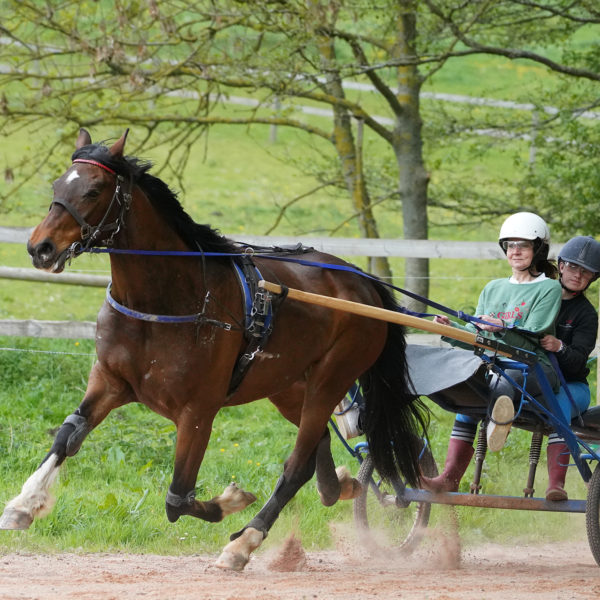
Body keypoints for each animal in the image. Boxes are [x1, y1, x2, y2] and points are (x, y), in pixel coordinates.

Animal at [2, 129, 428, 568]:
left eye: (93, 190)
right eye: (57, 186)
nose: (40, 248)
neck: (167, 300)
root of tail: (363, 283)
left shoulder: (197, 411)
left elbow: (177, 499)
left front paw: (232, 500)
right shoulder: (110, 382)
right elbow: (68, 434)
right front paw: (23, 504)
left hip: (332, 377)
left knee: (297, 463)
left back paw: (246, 542)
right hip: (287, 384)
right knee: (317, 446)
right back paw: (338, 486)